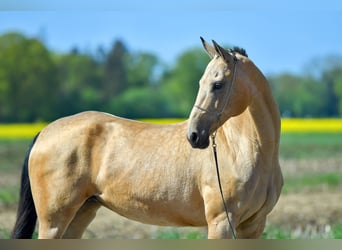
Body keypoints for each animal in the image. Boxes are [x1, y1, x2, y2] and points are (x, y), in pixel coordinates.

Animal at [11, 38, 284, 239]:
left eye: (217, 84)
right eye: (202, 82)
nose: (194, 135)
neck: (245, 150)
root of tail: (44, 132)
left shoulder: (253, 226)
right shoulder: (221, 224)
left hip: (81, 213)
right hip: (53, 222)